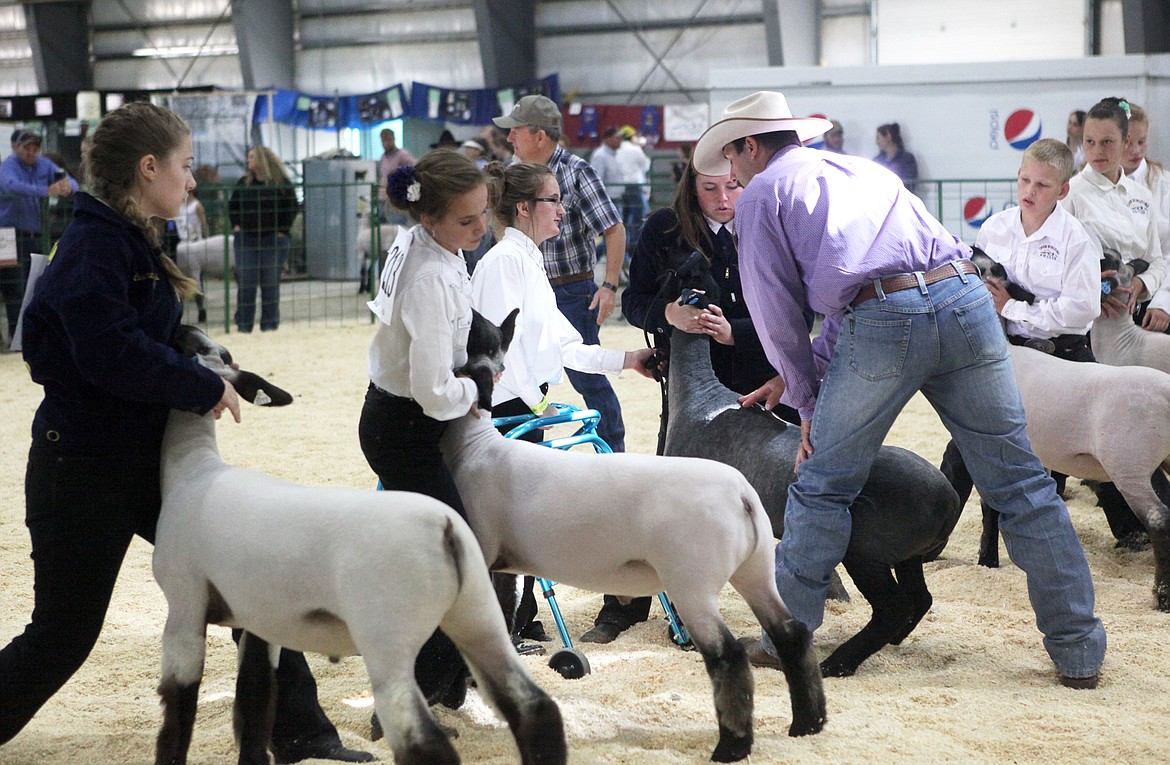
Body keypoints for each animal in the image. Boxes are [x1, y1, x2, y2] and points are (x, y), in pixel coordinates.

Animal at [152, 327, 566, 765]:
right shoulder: (258, 618)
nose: (182, 329)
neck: (193, 468)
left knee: (423, 738)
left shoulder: (184, 606)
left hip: (388, 637)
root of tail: (444, 527)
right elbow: (254, 704)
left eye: (199, 348)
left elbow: (179, 712)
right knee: (534, 706)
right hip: (479, 614)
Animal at [664, 329, 964, 678]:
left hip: (863, 549)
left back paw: (836, 664)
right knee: (921, 598)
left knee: (894, 608)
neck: (700, 399)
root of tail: (949, 500)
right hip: (906, 555)